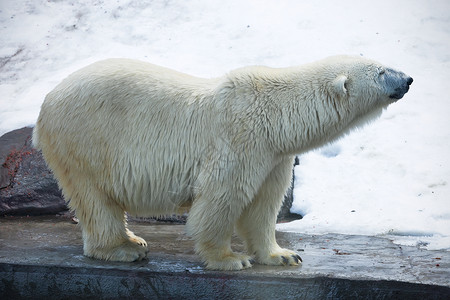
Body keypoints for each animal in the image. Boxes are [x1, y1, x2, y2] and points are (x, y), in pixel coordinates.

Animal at [32, 55, 412, 270]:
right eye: (381, 71)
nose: (408, 78)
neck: (277, 115)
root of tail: (46, 102)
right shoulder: (240, 140)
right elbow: (221, 199)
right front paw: (230, 259)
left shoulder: (274, 156)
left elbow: (263, 206)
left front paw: (282, 255)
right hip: (86, 140)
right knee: (95, 198)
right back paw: (124, 248)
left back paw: (132, 242)